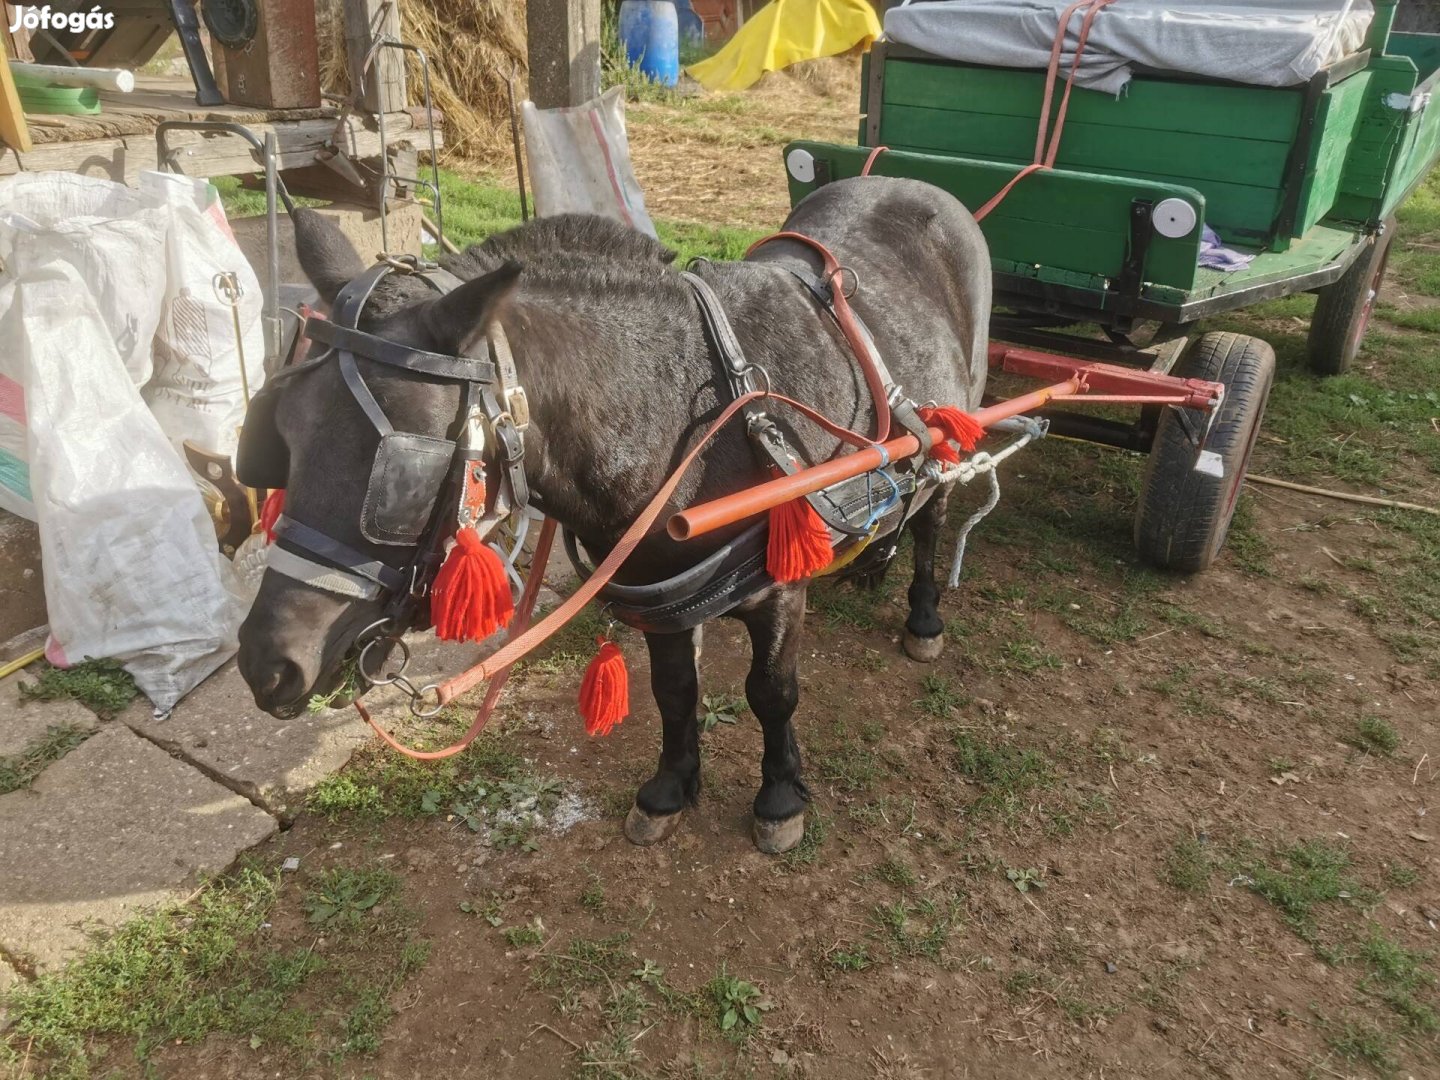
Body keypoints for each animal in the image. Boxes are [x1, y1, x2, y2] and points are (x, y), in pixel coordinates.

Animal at [241, 175, 996, 852]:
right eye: (277, 434)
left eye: (403, 466)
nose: (267, 665)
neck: (696, 420)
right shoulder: (657, 586)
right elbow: (674, 689)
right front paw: (670, 787)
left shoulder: (782, 580)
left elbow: (771, 691)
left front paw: (780, 795)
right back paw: (874, 555)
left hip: (956, 422)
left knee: (936, 512)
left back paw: (922, 610)